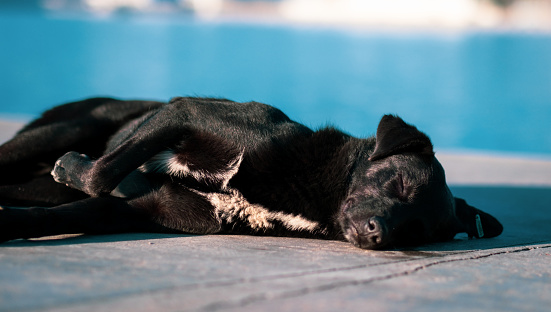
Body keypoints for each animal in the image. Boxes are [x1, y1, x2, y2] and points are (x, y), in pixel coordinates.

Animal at [0, 97, 504, 249]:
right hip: (66, 128)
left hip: (39, 184)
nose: (381, 234)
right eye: (398, 184)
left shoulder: (144, 211)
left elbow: (62, 215)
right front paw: (77, 167)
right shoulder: (186, 112)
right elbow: (103, 174)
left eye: (417, 231)